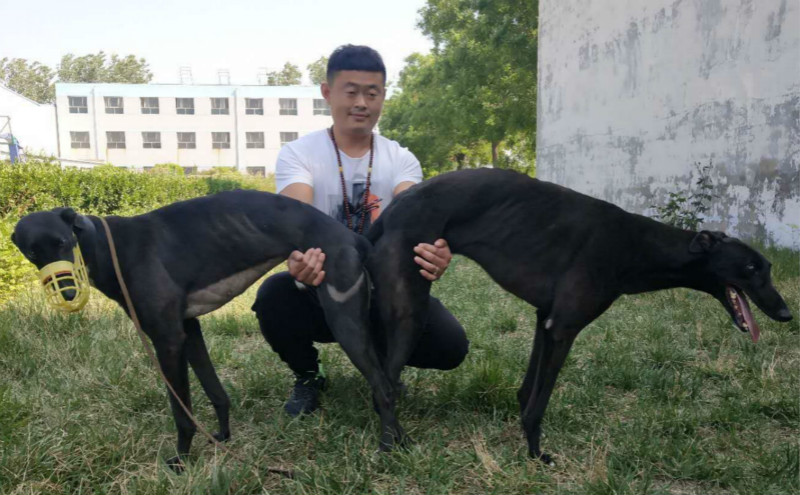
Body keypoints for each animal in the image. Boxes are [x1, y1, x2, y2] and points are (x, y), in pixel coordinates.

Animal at [10, 191, 400, 472]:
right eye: (32, 251)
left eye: (62, 243)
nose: (67, 294)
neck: (109, 248)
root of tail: (352, 238)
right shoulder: (189, 329)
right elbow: (216, 392)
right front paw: (223, 437)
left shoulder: (167, 340)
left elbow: (181, 412)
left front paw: (181, 461)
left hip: (345, 319)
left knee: (383, 387)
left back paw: (389, 445)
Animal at [366, 170, 792, 464]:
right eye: (751, 268)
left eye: (768, 267)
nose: (786, 313)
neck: (634, 244)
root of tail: (392, 209)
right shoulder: (564, 328)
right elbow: (539, 403)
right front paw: (536, 455)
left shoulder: (545, 321)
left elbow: (527, 391)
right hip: (410, 309)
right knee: (384, 385)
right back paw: (391, 447)